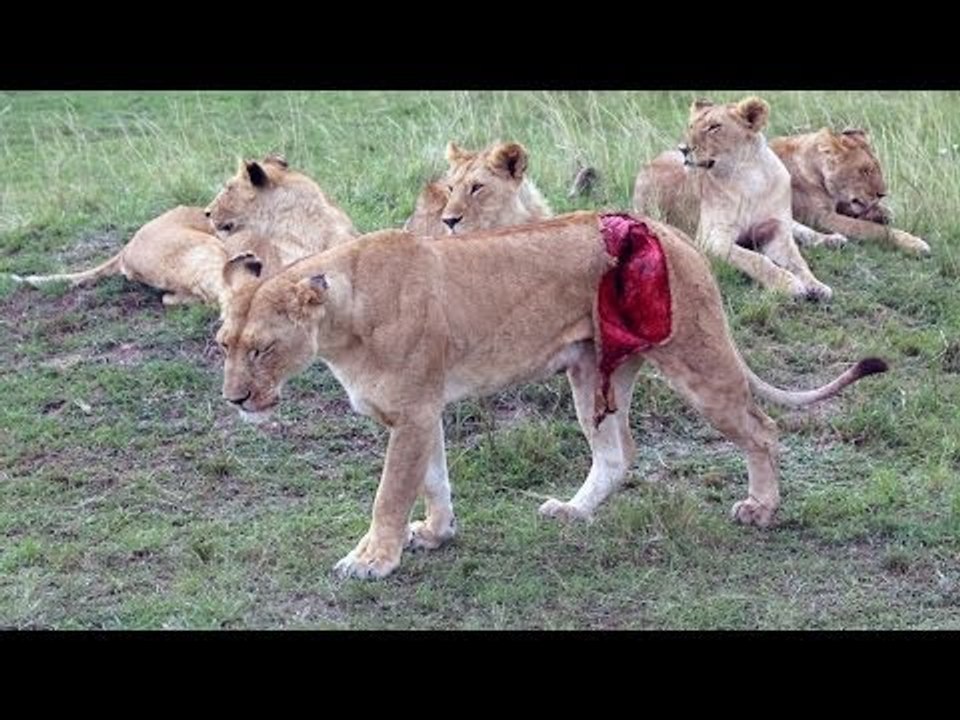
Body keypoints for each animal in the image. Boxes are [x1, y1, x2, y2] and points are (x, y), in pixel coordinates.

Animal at [216, 211, 886, 579]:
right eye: (223, 344)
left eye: (262, 349)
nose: (235, 400)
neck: (342, 320)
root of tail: (675, 232)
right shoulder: (422, 412)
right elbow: (433, 479)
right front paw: (435, 533)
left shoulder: (411, 413)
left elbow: (391, 493)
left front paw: (371, 560)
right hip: (592, 372)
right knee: (618, 454)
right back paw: (573, 512)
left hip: (696, 360)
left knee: (761, 428)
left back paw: (762, 509)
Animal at [634, 97, 840, 300]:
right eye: (691, 126)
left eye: (714, 127)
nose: (683, 149)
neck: (749, 178)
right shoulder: (712, 239)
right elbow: (756, 259)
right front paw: (790, 285)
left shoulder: (776, 232)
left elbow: (798, 261)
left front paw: (816, 285)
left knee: (800, 229)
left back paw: (832, 239)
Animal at [769, 128, 930, 255]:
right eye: (865, 171)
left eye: (877, 168)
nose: (882, 194)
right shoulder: (820, 218)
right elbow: (872, 228)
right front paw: (914, 243)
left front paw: (883, 213)